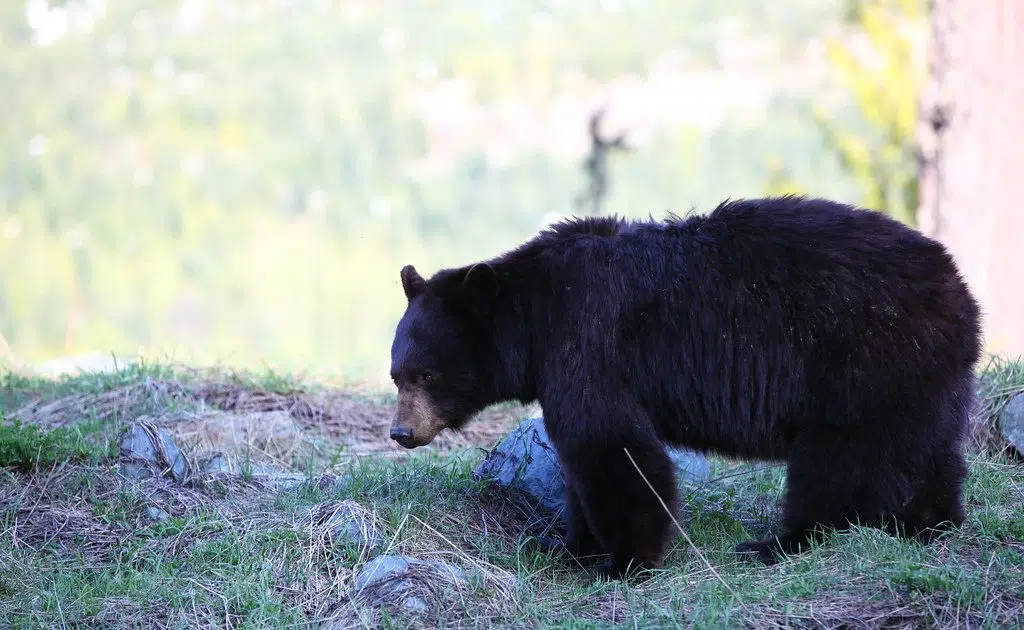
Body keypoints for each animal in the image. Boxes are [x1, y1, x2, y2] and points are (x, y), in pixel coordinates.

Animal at [385, 194, 983, 577]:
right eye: (396, 373)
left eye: (428, 373)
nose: (401, 432)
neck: (534, 314)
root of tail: (958, 288)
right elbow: (581, 463)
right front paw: (568, 545)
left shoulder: (586, 343)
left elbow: (610, 445)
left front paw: (625, 560)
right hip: (923, 378)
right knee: (929, 450)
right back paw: (931, 521)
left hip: (860, 361)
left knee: (837, 462)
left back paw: (779, 543)